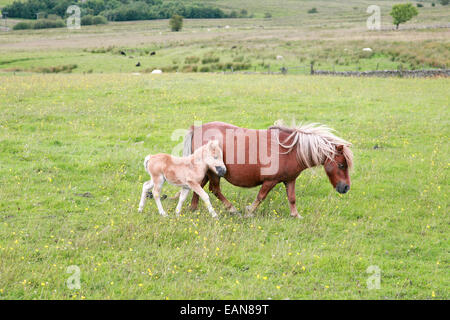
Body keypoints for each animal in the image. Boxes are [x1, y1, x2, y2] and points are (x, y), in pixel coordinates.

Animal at [182, 121, 352, 219]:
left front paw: (296, 215)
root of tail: (196, 129)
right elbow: (260, 197)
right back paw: (232, 209)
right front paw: (249, 212)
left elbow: (292, 198)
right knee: (214, 189)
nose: (346, 187)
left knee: (200, 186)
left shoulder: (290, 180)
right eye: (341, 165)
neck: (292, 150)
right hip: (214, 172)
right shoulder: (270, 181)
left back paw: (193, 208)